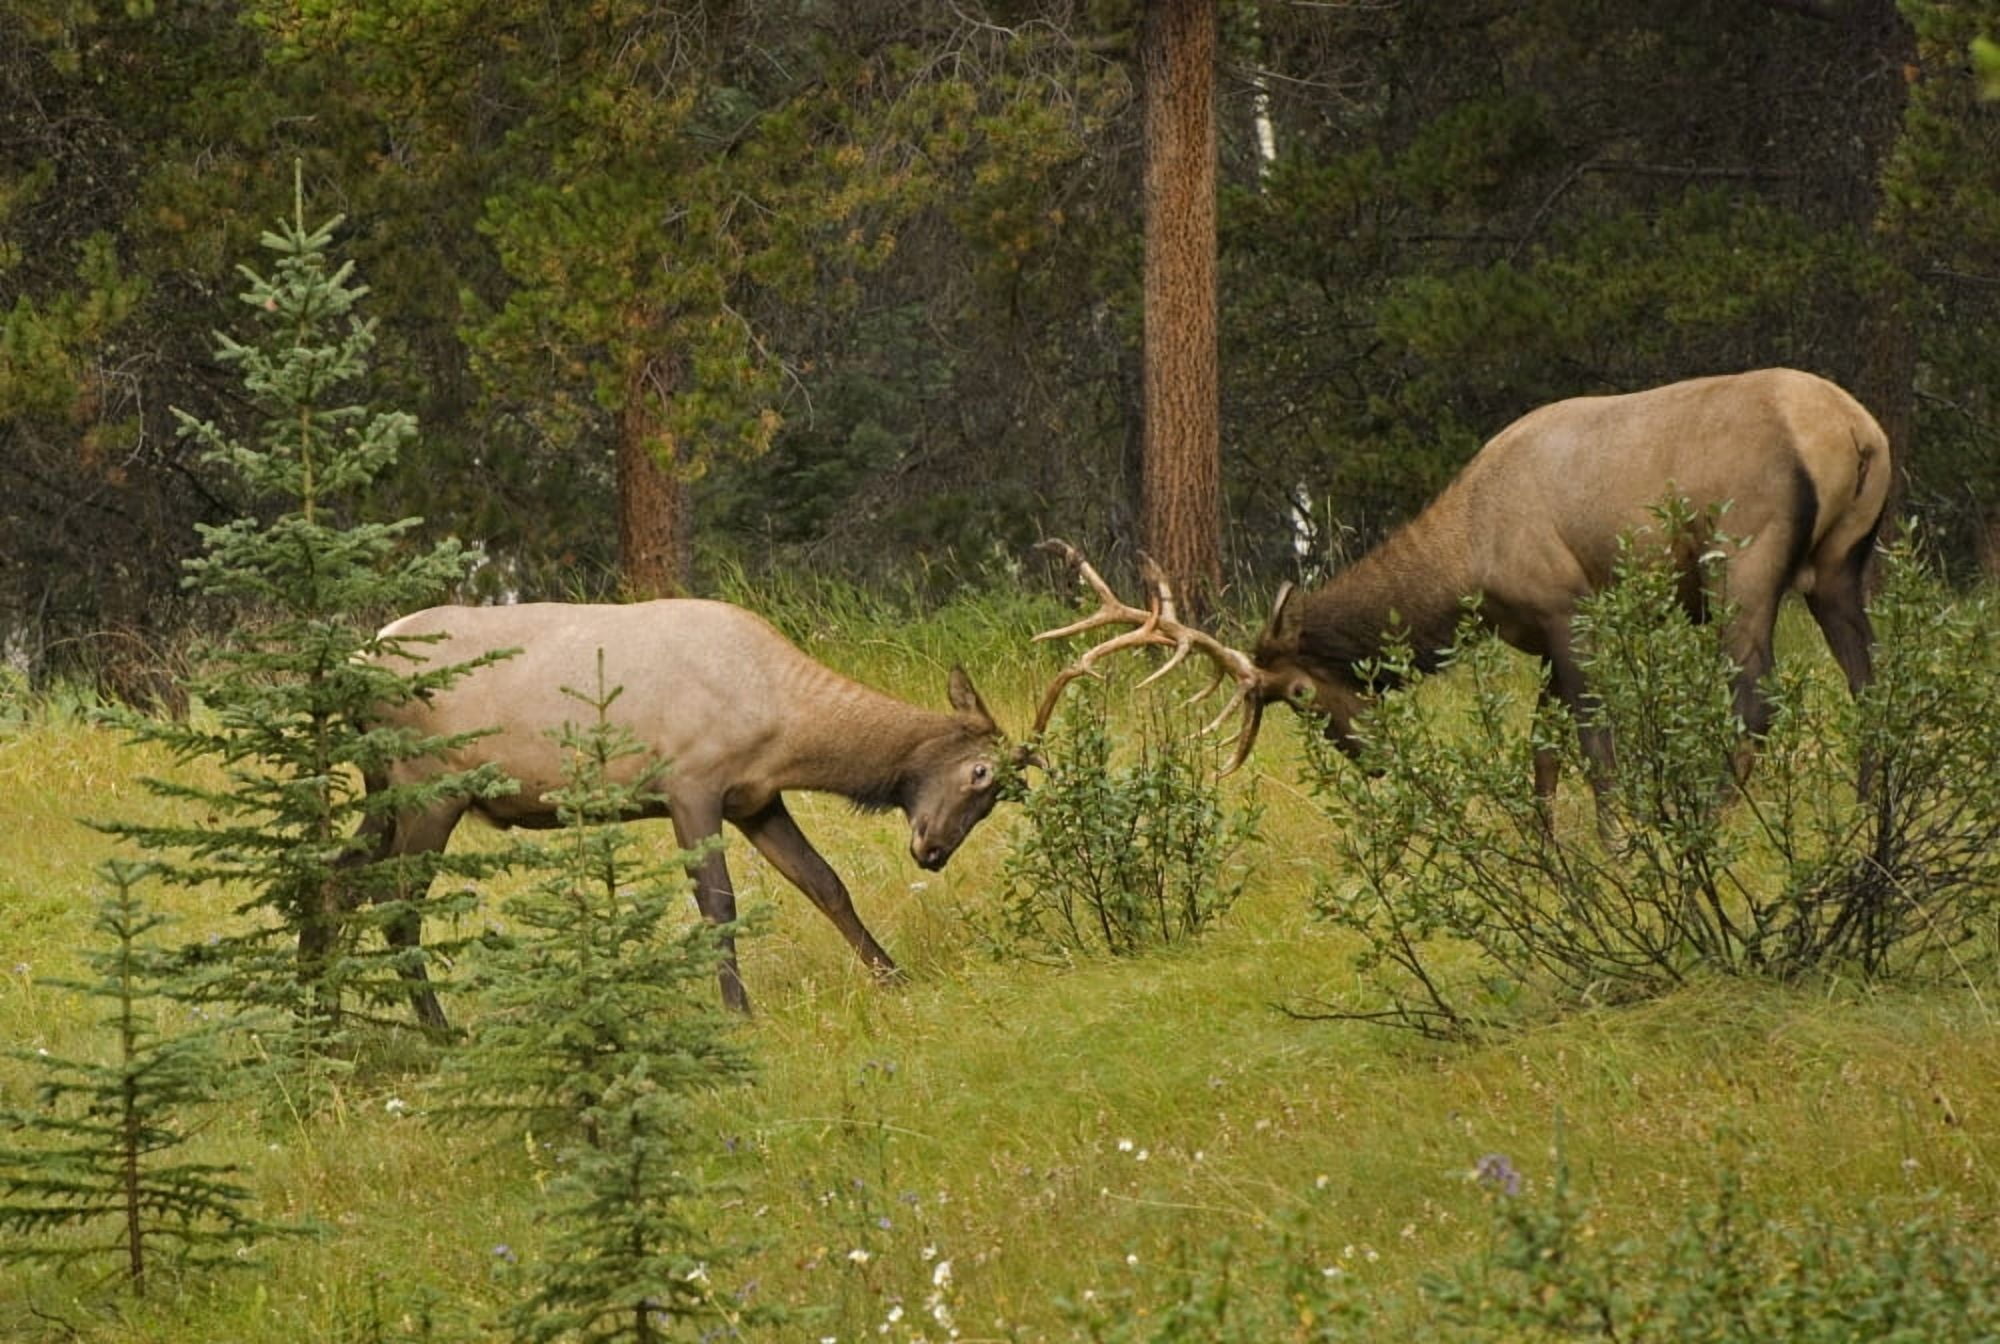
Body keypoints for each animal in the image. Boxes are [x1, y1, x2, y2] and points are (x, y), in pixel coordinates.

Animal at [351, 598, 1020, 1027]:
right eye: (979, 776)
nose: (933, 852)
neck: (783, 726)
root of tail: (361, 660)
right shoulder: (691, 786)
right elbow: (717, 906)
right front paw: (738, 1011)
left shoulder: (756, 801)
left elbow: (825, 884)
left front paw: (893, 977)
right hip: (430, 787)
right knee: (394, 903)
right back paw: (438, 1030)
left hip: (384, 793)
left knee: (341, 882)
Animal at [1035, 368, 1892, 798]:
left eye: (1301, 694)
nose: (1371, 756)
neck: (1465, 563)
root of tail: (1855, 429)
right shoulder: (1538, 639)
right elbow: (1542, 754)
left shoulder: (1565, 609)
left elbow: (1594, 748)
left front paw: (1619, 849)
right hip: (1841, 564)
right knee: (1870, 687)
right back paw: (1869, 820)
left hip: (1741, 559)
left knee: (1755, 700)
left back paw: (1713, 815)